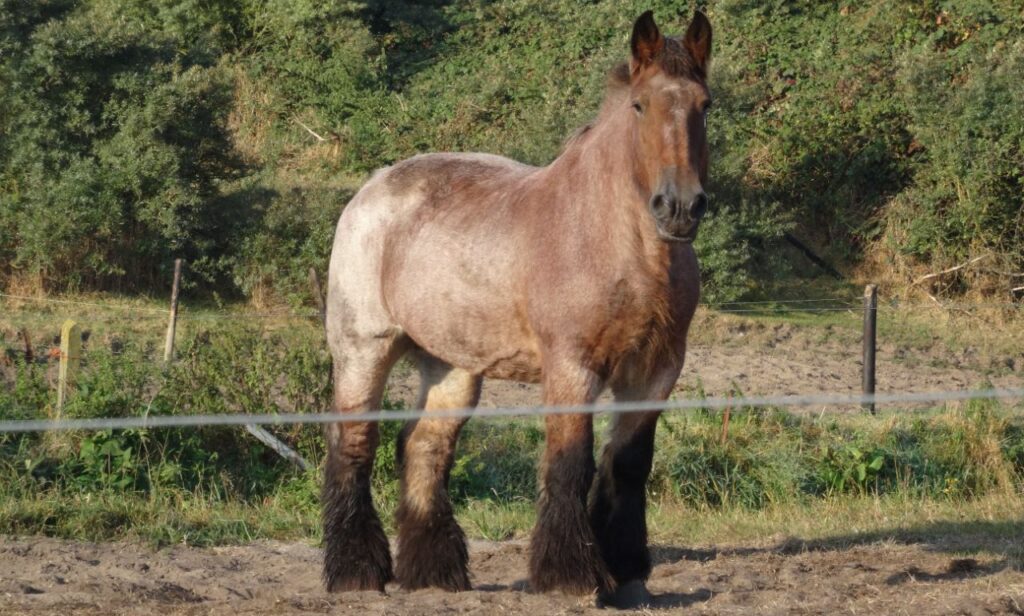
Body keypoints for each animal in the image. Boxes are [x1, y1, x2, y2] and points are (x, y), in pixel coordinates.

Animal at [322, 9, 712, 599]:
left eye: (705, 104)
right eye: (640, 105)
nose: (680, 207)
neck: (622, 245)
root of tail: (370, 189)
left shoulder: (656, 370)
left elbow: (627, 464)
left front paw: (626, 570)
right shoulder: (572, 366)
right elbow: (569, 464)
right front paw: (571, 575)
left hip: (453, 368)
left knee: (423, 447)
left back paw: (435, 573)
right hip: (363, 349)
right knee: (354, 444)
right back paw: (356, 571)